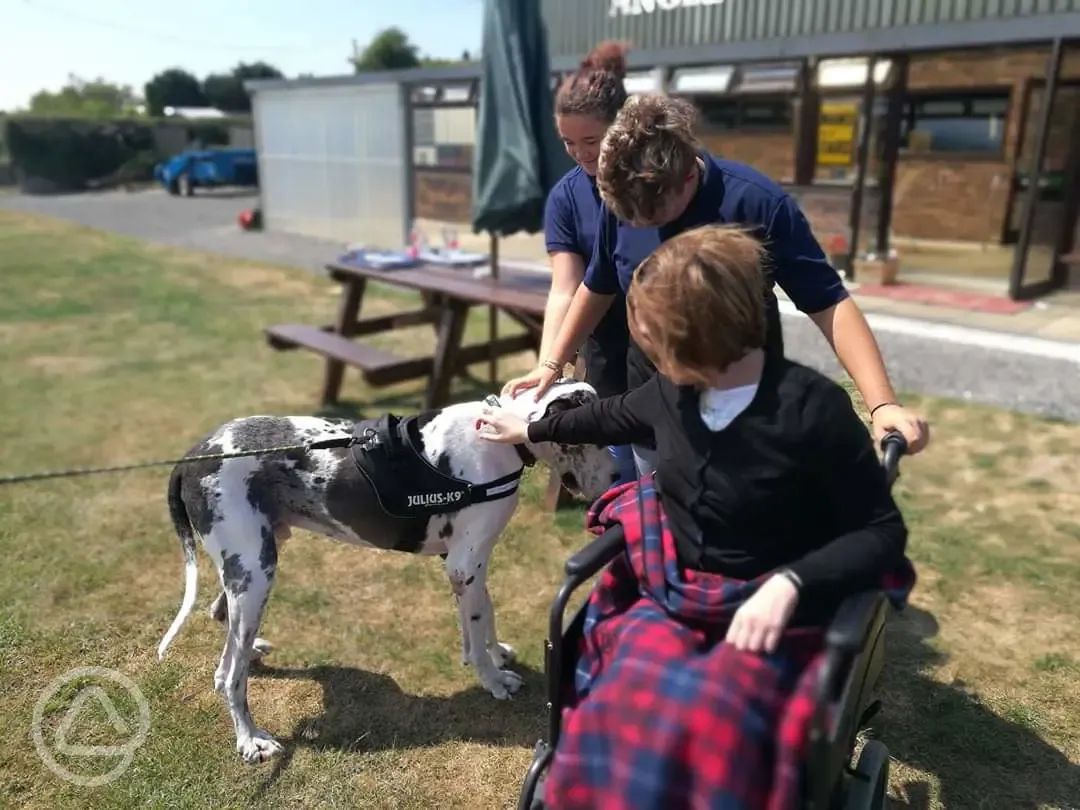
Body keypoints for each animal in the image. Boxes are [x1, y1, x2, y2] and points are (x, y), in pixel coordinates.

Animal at [157, 380, 622, 768]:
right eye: (592, 436)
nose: (620, 475)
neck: (500, 438)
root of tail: (191, 458)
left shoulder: (472, 562)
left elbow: (484, 615)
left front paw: (496, 653)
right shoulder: (464, 564)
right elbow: (476, 628)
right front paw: (493, 680)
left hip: (254, 561)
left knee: (222, 626)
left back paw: (253, 653)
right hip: (256, 573)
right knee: (228, 676)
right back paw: (250, 739)